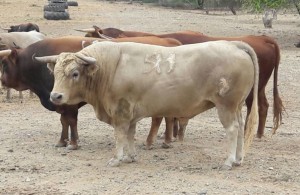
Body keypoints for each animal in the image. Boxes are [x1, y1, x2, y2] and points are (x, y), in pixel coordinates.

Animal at [35, 40, 260, 169]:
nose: (56, 96)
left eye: (74, 73)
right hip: (237, 107)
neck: (110, 67)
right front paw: (130, 157)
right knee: (241, 128)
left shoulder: (120, 112)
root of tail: (234, 44)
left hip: (226, 106)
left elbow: (120, 136)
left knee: (232, 130)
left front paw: (117, 159)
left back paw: (229, 161)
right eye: (54, 73)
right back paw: (238, 159)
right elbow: (130, 135)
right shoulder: (130, 114)